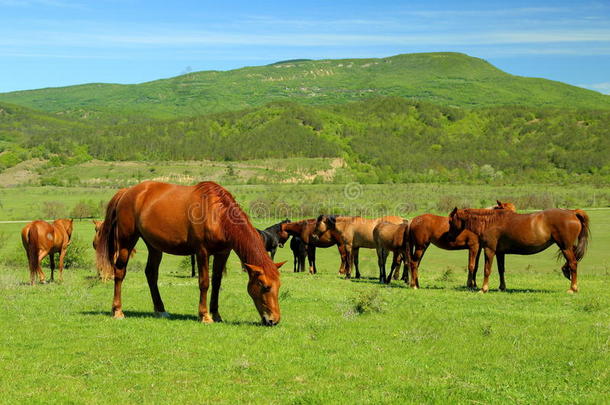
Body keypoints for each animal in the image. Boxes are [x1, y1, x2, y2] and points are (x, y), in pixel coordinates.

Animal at [95, 181, 284, 326]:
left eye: (278, 286)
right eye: (265, 286)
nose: (274, 320)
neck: (217, 214)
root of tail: (127, 192)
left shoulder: (222, 253)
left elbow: (216, 283)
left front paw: (216, 315)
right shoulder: (202, 252)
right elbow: (204, 283)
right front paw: (205, 316)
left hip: (154, 246)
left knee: (151, 273)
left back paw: (160, 310)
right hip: (126, 241)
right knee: (120, 272)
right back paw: (118, 311)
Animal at [448, 207, 588, 292]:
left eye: (450, 220)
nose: (449, 236)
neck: (490, 222)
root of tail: (572, 212)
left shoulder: (489, 250)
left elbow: (487, 270)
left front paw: (484, 289)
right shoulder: (500, 252)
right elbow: (501, 270)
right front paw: (502, 287)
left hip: (565, 247)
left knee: (573, 264)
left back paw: (573, 288)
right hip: (568, 247)